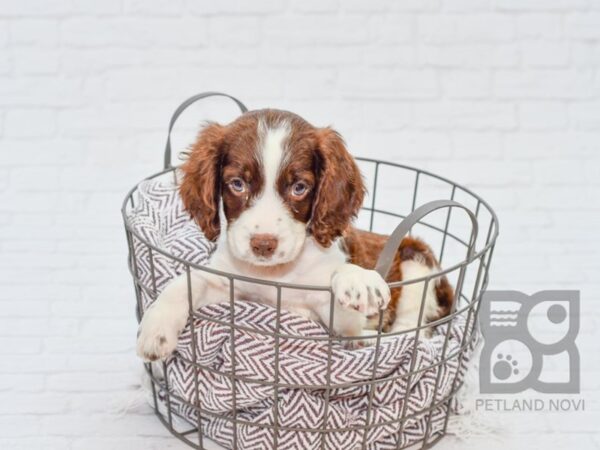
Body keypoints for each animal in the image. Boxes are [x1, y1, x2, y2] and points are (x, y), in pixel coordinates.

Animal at [137, 109, 454, 362]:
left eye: (299, 188)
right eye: (237, 184)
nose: (263, 245)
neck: (276, 274)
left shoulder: (340, 322)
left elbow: (342, 296)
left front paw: (357, 279)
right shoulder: (228, 283)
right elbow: (185, 283)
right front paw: (156, 328)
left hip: (418, 260)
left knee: (414, 328)